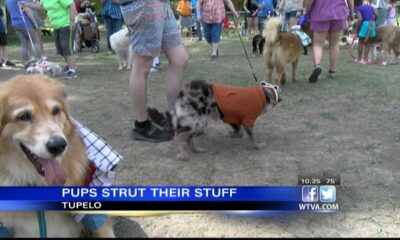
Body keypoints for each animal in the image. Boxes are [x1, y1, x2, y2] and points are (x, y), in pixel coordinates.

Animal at [147, 79, 282, 160]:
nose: (281, 99)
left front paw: (232, 134)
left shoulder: (232, 117)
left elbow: (238, 131)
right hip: (197, 121)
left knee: (189, 138)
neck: (262, 95)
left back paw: (197, 150)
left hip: (199, 122)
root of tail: (182, 94)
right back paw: (183, 154)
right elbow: (251, 137)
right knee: (179, 135)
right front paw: (258, 145)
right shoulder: (247, 120)